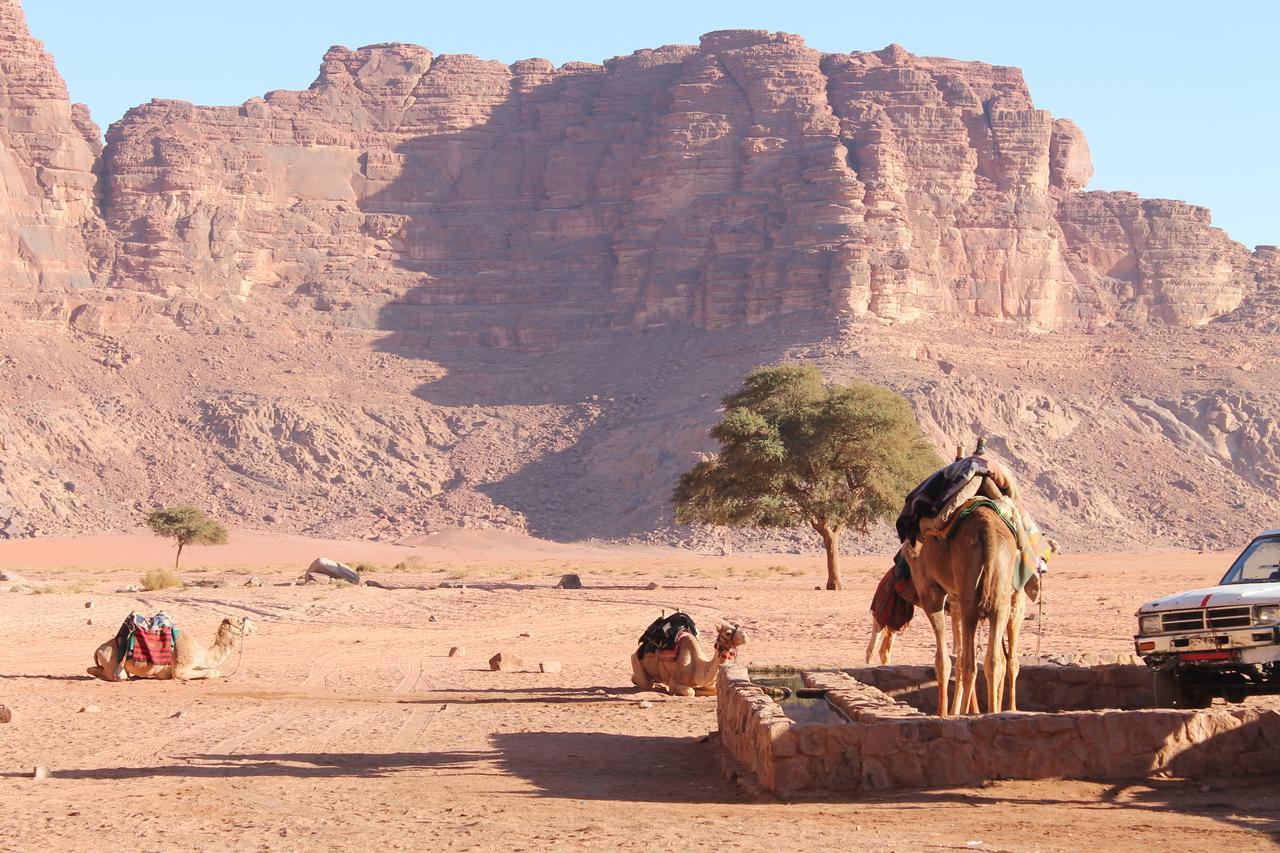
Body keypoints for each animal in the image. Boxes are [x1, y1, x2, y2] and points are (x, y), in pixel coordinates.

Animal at [87, 614, 254, 681]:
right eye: (240, 621)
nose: (255, 626)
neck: (200, 653)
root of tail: (98, 649)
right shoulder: (180, 669)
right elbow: (212, 672)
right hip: (114, 664)